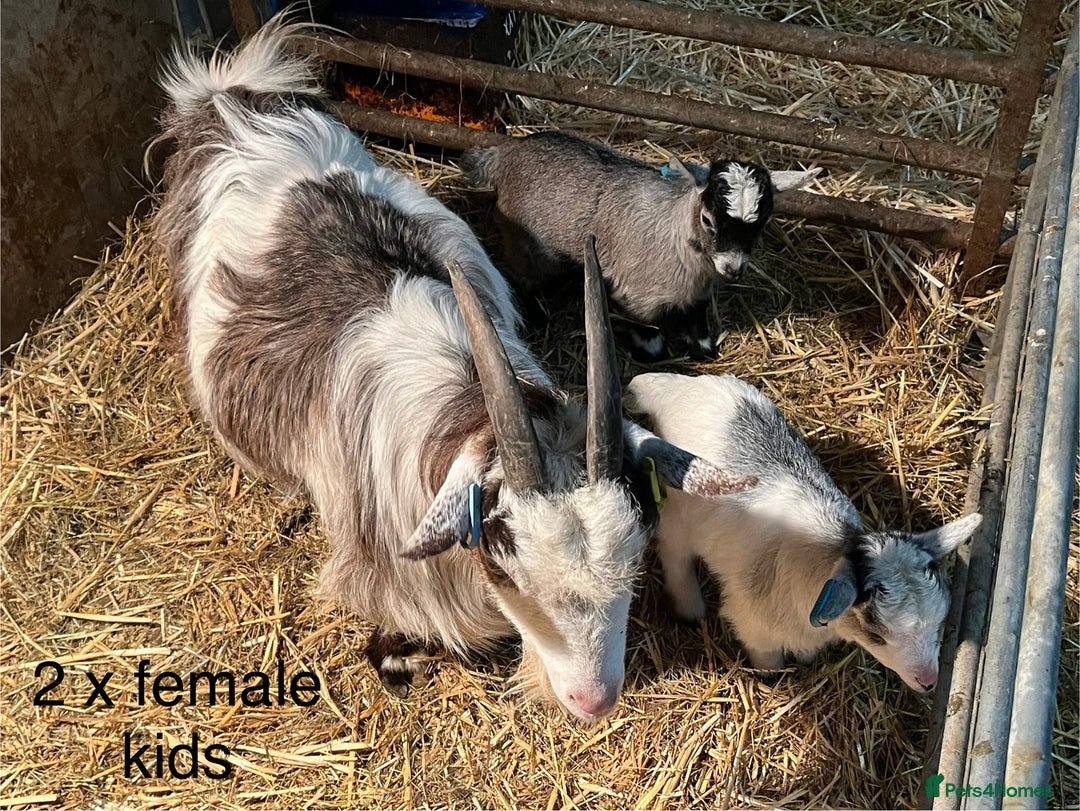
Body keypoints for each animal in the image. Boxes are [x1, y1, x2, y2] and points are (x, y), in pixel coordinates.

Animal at [462, 132, 818, 360]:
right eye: (708, 220)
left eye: (762, 223)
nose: (733, 268)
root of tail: (504, 154)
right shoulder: (637, 295)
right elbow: (650, 335)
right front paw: (651, 354)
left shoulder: (698, 294)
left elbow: (699, 326)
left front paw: (701, 348)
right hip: (526, 246)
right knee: (524, 278)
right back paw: (538, 314)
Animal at [626, 372, 981, 692]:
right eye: (878, 634)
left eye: (940, 621)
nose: (929, 682)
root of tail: (677, 387)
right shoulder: (754, 623)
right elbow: (767, 656)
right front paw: (771, 679)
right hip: (677, 509)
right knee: (673, 551)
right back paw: (690, 608)